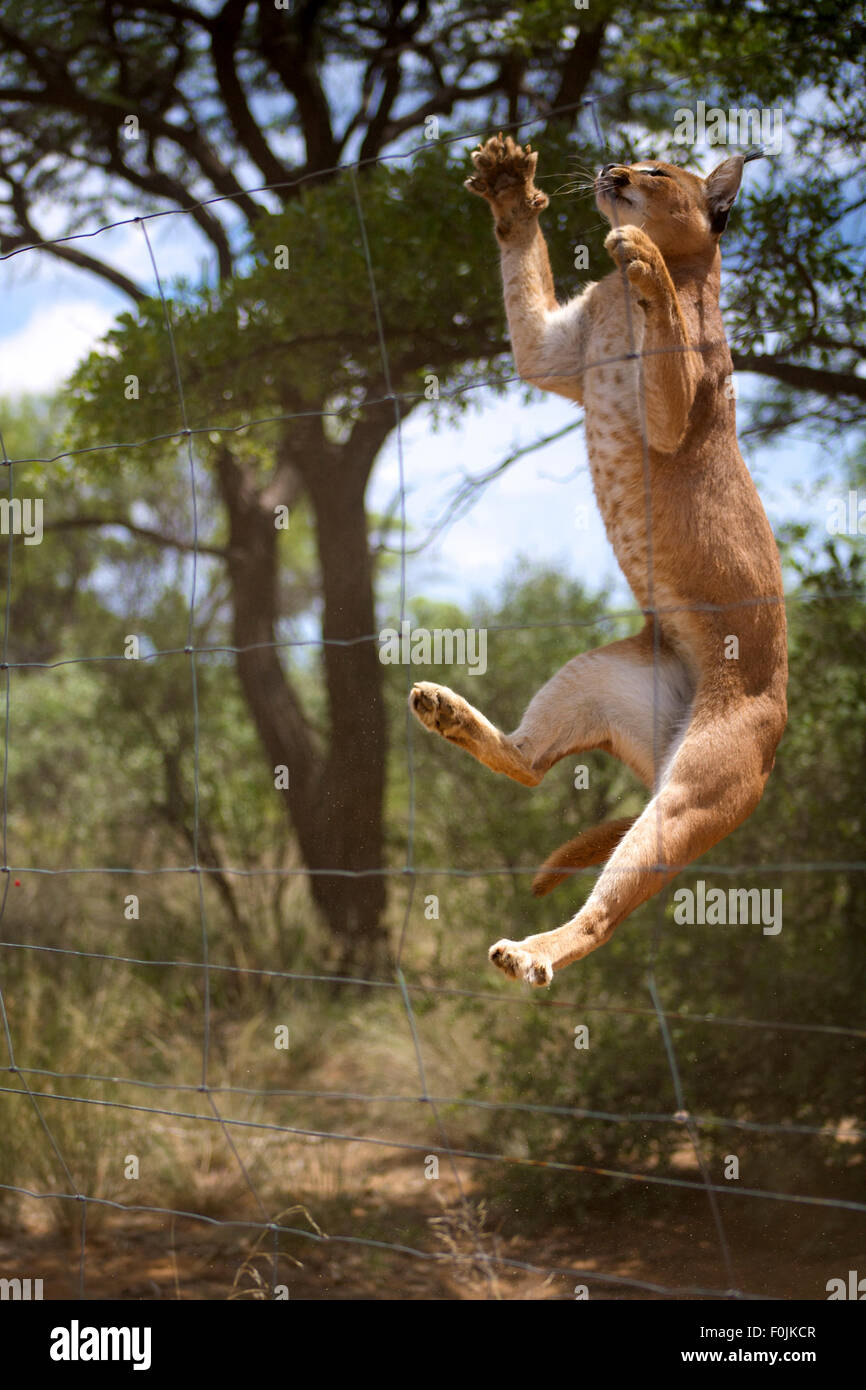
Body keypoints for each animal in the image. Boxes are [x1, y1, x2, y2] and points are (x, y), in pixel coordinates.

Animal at [408, 135, 789, 989]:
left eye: (657, 172)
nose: (614, 171)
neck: (617, 302)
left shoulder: (676, 408)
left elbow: (666, 328)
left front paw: (641, 256)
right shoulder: (552, 353)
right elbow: (525, 282)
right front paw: (509, 188)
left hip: (693, 791)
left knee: (605, 911)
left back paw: (530, 954)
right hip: (594, 677)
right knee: (528, 764)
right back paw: (445, 711)